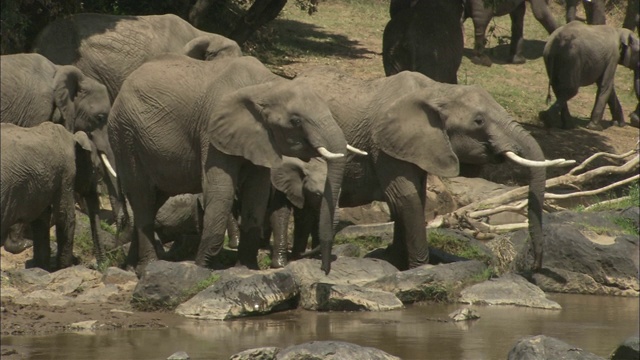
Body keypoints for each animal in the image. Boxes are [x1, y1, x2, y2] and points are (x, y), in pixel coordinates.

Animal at [0, 122, 100, 268]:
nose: (98, 265)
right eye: (97, 169)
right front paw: (65, 267)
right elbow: (65, 215)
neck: (72, 136)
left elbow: (41, 219)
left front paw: (41, 267)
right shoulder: (66, 172)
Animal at [107, 52, 352, 274]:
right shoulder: (211, 131)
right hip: (125, 136)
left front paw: (246, 267)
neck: (267, 85)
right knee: (142, 196)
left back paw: (131, 267)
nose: (324, 269)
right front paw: (202, 267)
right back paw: (147, 267)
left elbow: (257, 192)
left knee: (154, 199)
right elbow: (221, 190)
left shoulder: (259, 139)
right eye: (295, 121)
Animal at [290, 66, 568, 272]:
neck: (439, 90)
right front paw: (420, 268)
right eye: (478, 121)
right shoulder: (384, 145)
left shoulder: (417, 146)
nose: (535, 266)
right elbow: (405, 198)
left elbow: (416, 198)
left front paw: (395, 260)